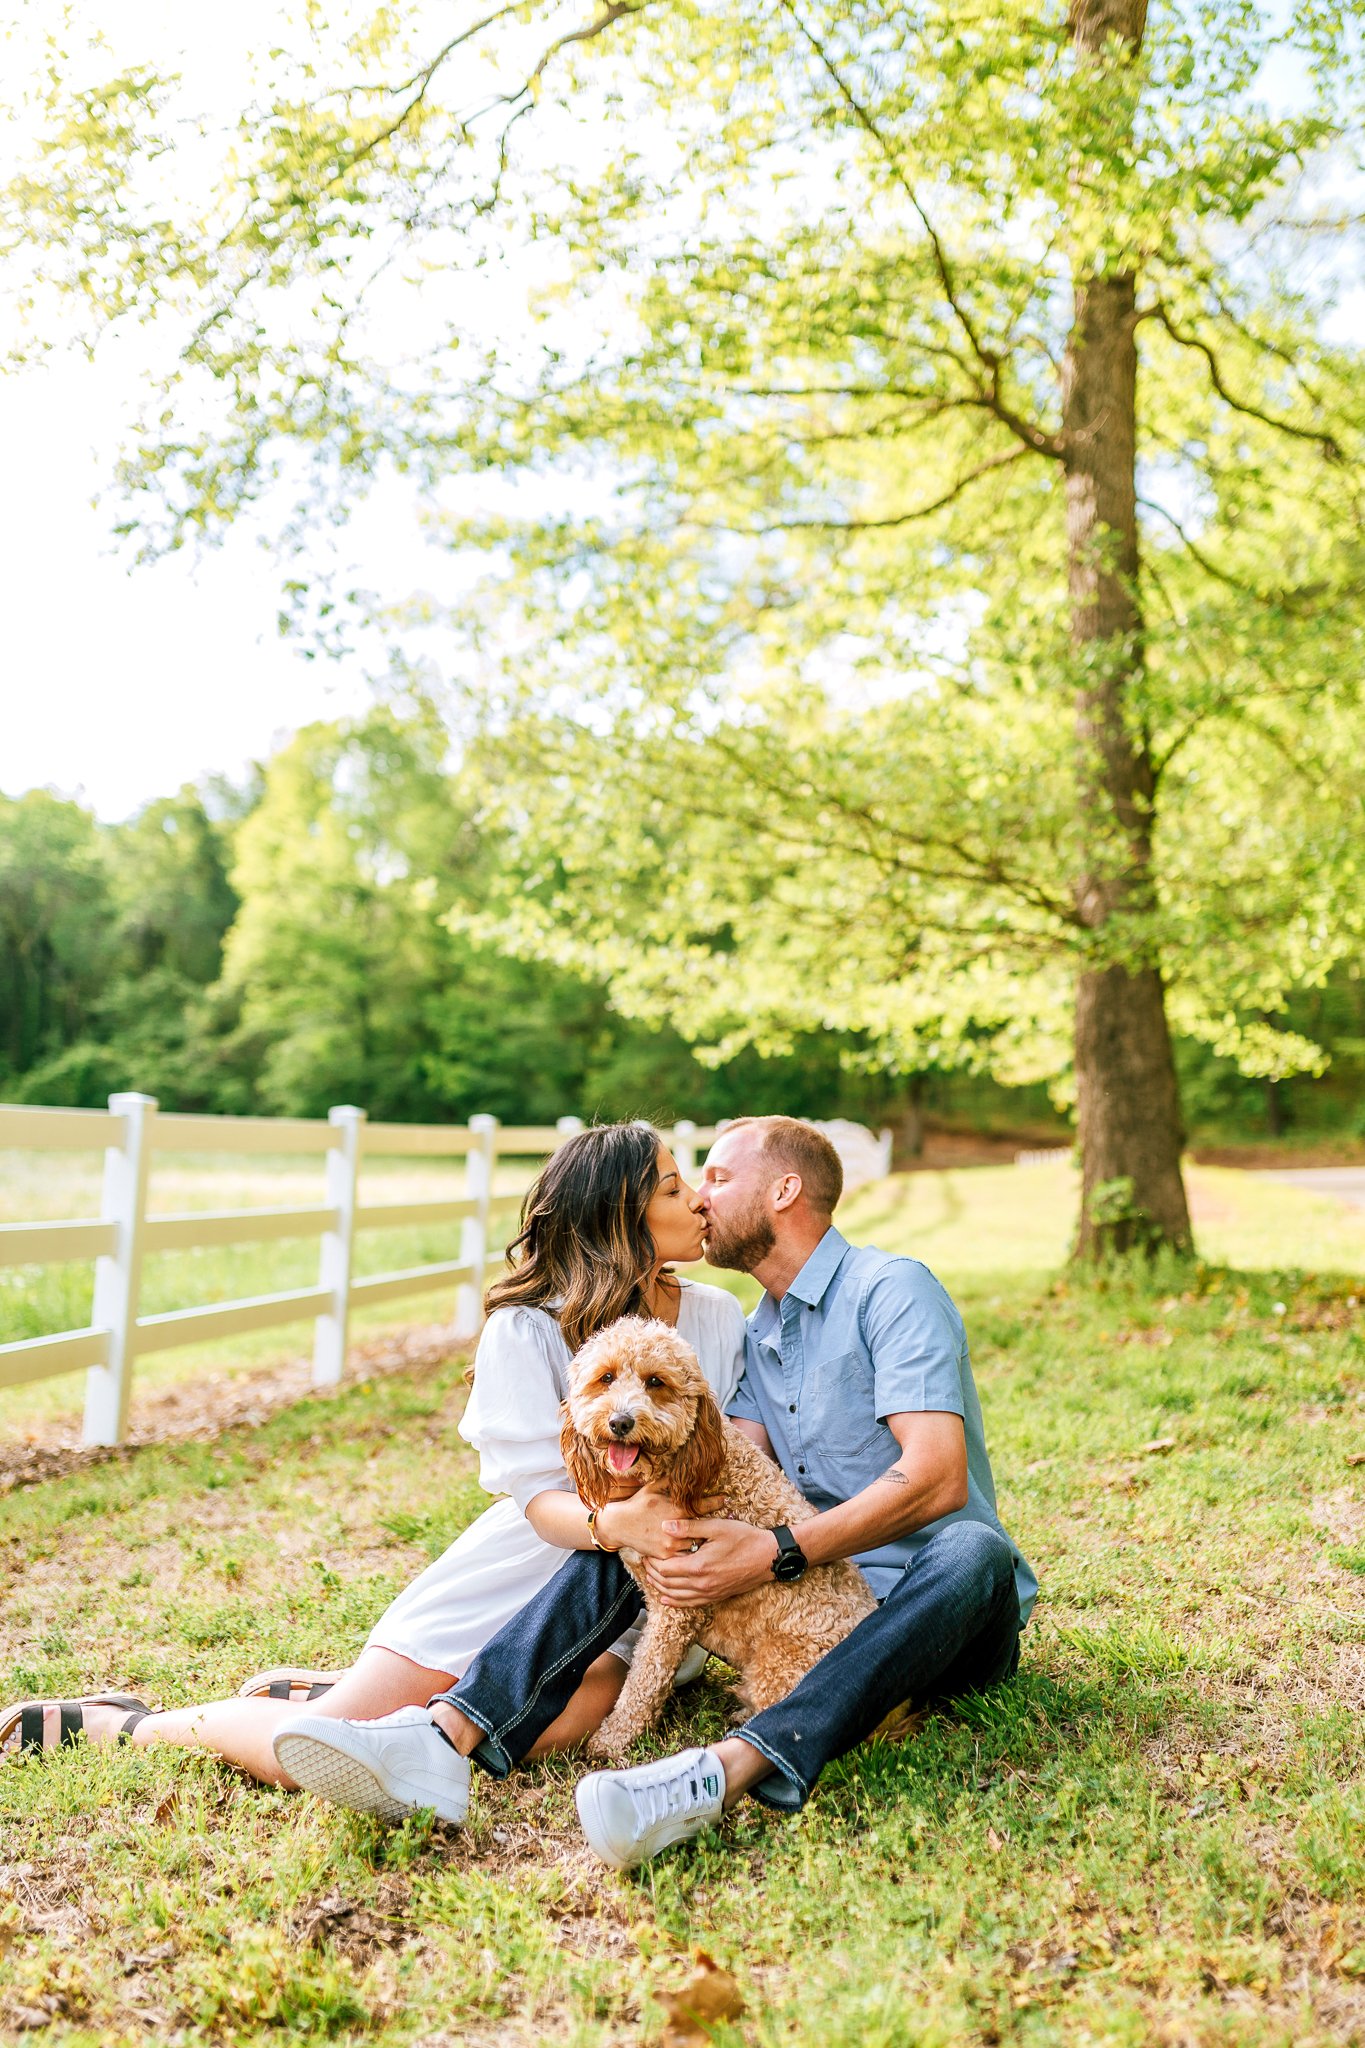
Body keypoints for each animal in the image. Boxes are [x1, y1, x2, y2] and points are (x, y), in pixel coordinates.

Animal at [564, 1327, 875, 1761]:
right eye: (605, 1378)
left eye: (656, 1382)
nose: (620, 1421)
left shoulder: (676, 1607)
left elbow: (645, 1678)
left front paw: (613, 1739)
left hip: (780, 1665)